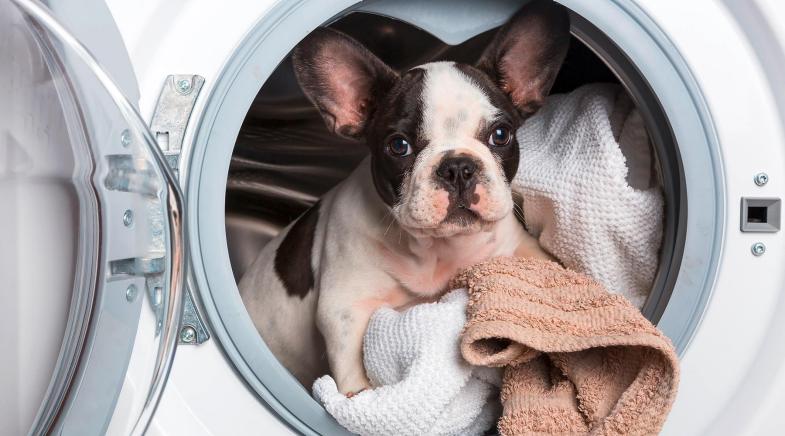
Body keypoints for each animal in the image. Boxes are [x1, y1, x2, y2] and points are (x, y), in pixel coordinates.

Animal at [239, 0, 568, 396]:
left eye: (501, 135)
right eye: (399, 146)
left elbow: (544, 268)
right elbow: (355, 376)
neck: (436, 250)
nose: (457, 167)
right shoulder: (346, 308)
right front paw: (361, 399)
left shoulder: (515, 248)